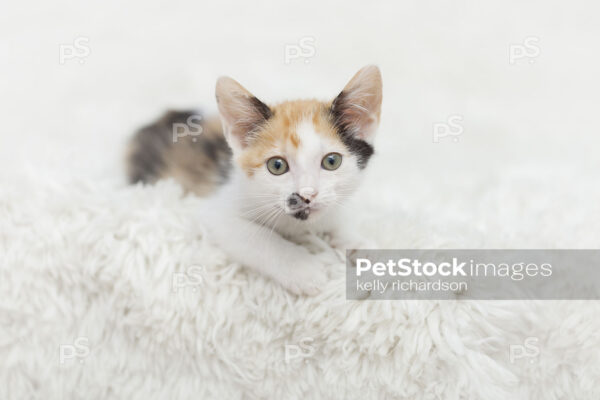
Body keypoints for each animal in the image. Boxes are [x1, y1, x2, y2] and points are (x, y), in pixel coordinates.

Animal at [127, 65, 384, 296]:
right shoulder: (216, 211)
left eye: (332, 161)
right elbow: (257, 238)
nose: (306, 195)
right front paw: (304, 270)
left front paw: (364, 250)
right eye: (277, 166)